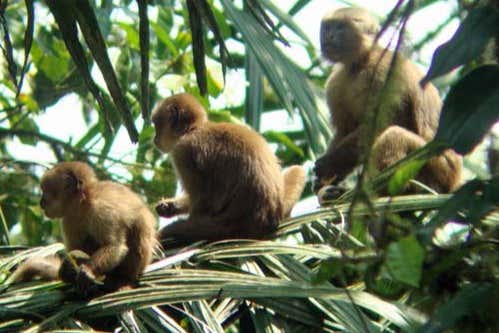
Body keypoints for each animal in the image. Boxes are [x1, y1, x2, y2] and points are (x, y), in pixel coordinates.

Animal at [153, 92, 308, 243]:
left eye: (156, 125)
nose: (154, 139)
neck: (193, 129)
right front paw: (170, 206)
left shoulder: (182, 151)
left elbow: (204, 200)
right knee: (298, 170)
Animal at [314, 7, 462, 198]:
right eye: (327, 28)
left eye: (340, 27)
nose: (329, 36)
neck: (360, 63)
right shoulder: (336, 81)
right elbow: (345, 129)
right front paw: (326, 178)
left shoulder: (384, 72)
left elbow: (387, 123)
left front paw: (330, 163)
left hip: (442, 169)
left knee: (394, 136)